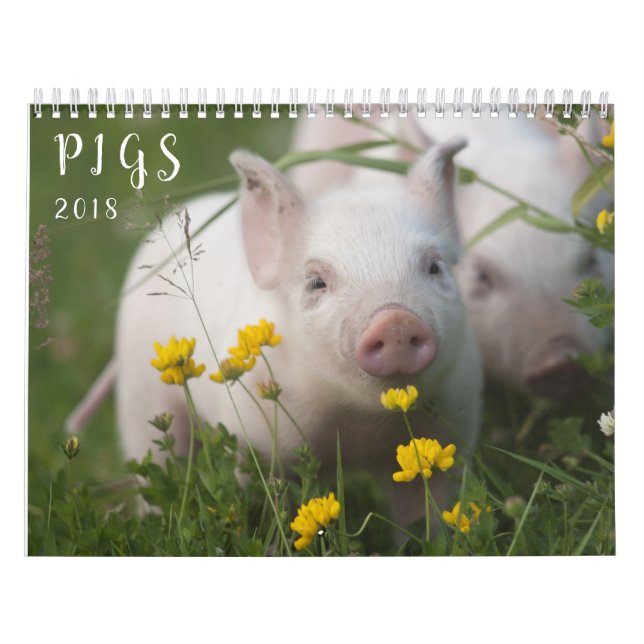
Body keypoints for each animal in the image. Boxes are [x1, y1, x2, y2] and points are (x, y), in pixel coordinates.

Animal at [115, 140, 482, 525]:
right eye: (317, 281)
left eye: (434, 266)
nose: (395, 321)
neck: (357, 425)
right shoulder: (254, 441)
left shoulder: (452, 423)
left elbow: (427, 510)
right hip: (140, 393)